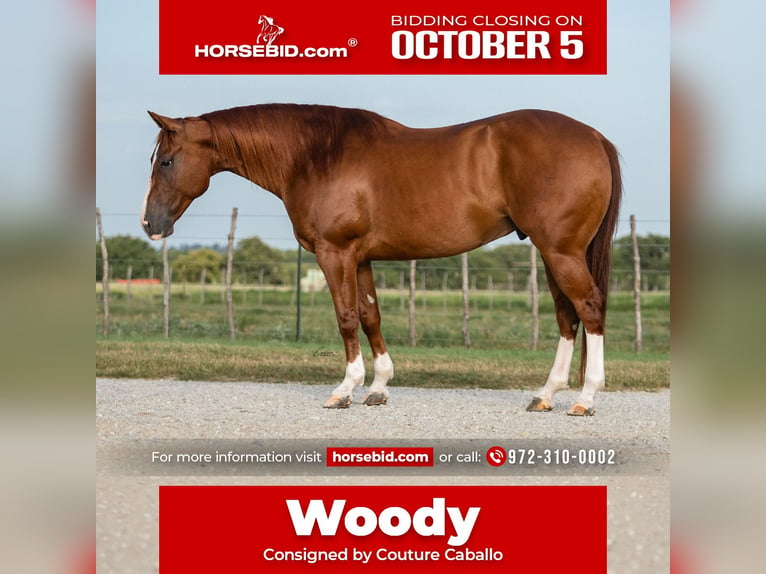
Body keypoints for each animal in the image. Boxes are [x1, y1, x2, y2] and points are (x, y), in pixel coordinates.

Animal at [141, 104, 622, 415]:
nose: (150, 224)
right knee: (567, 316)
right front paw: (379, 387)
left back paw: (585, 398)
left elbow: (346, 317)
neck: (316, 154)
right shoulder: (361, 258)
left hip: (560, 252)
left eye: (166, 161)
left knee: (589, 308)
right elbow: (370, 316)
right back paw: (546, 395)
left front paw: (345, 389)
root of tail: (594, 136)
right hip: (553, 253)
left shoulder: (335, 252)